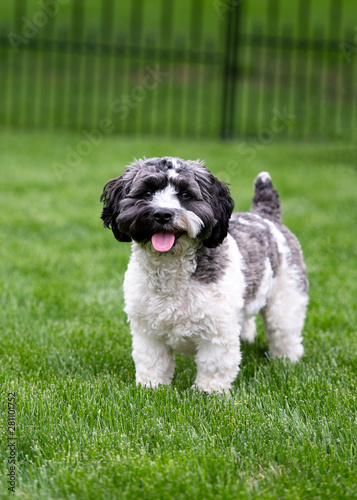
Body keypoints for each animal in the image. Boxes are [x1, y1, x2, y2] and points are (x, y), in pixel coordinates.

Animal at [101, 158, 308, 392]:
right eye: (147, 192)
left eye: (185, 194)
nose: (162, 214)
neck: (171, 271)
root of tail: (266, 216)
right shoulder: (147, 332)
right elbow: (152, 362)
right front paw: (151, 388)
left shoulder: (217, 332)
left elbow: (214, 365)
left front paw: (208, 392)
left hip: (287, 297)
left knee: (284, 331)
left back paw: (286, 360)